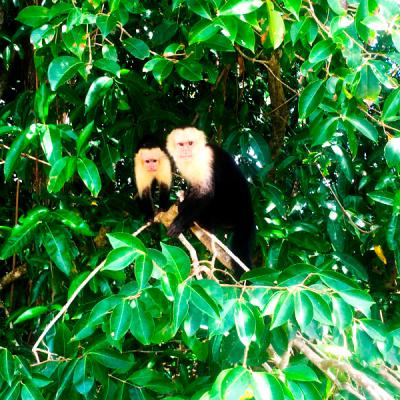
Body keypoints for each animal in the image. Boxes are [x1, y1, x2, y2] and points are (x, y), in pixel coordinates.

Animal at [166, 126, 256, 274]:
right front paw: (183, 198)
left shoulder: (205, 159)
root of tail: (248, 214)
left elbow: (205, 192)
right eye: (181, 144)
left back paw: (201, 221)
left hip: (228, 211)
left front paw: (180, 220)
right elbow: (193, 187)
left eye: (190, 143)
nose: (186, 150)